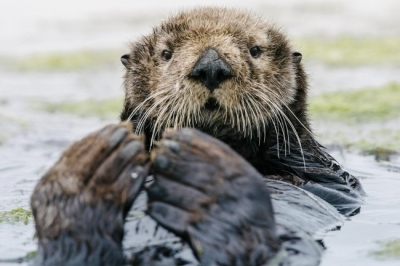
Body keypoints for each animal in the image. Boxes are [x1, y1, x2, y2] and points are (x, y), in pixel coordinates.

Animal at [30, 7, 362, 264]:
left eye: (255, 50)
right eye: (166, 53)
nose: (211, 66)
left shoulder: (329, 177)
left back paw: (208, 177)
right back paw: (88, 172)